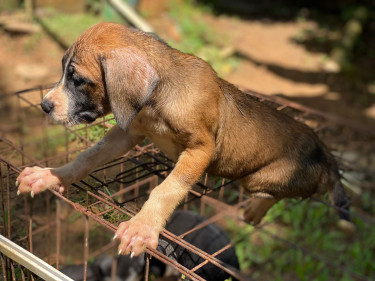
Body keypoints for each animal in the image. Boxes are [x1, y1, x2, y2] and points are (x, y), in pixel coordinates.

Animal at [16, 22, 354, 256]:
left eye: (79, 80)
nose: (44, 105)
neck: (155, 104)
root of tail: (324, 150)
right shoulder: (127, 133)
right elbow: (86, 158)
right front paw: (50, 176)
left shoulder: (200, 151)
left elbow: (166, 189)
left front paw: (143, 227)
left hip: (260, 179)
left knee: (282, 193)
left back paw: (257, 208)